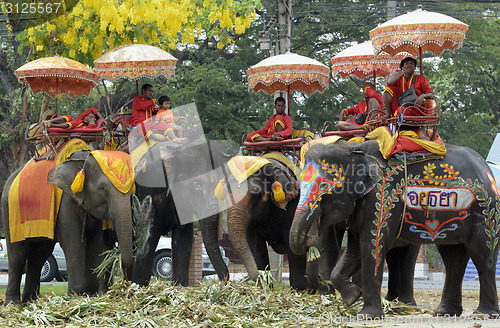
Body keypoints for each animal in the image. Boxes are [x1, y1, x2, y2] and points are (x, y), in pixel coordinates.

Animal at [0, 149, 134, 304]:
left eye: (132, 189)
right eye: (102, 188)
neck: (82, 159)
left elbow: (95, 244)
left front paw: (91, 295)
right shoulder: (65, 203)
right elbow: (73, 244)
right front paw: (75, 296)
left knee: (39, 255)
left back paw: (31, 301)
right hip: (10, 212)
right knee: (18, 254)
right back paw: (13, 304)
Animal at [131, 140, 236, 286]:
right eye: (196, 185)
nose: (224, 280)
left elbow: (183, 240)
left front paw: (179, 286)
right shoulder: (149, 191)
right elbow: (148, 238)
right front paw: (137, 287)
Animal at [290, 140, 500, 318]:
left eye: (325, 187)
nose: (310, 240)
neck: (353, 148)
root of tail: (487, 169)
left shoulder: (382, 199)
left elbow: (371, 246)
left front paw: (367, 316)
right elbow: (355, 251)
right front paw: (351, 299)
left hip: (486, 212)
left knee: (482, 255)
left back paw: (484, 314)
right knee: (452, 257)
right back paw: (444, 313)